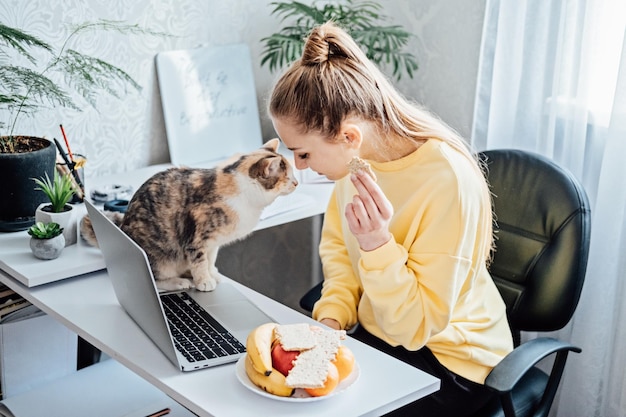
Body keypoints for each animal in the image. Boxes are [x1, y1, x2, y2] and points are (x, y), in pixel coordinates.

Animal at [80, 138, 298, 290]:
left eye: (293, 174)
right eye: (288, 177)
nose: (296, 183)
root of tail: (122, 227)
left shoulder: (213, 243)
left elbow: (211, 259)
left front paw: (212, 274)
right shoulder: (196, 236)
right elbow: (200, 261)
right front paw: (204, 281)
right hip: (160, 256)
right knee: (154, 278)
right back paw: (178, 282)